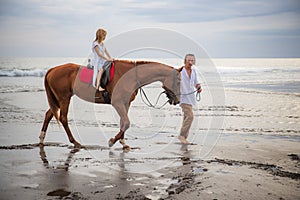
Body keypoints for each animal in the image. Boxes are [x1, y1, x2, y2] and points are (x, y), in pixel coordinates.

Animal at [39, 60, 180, 149]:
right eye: (179, 81)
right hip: (64, 99)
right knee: (63, 118)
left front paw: (123, 142)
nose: (177, 100)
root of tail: (53, 70)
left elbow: (124, 122)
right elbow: (126, 122)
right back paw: (75, 142)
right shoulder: (117, 103)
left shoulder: (125, 103)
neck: (129, 76)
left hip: (58, 100)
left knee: (49, 114)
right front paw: (112, 141)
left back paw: (41, 139)